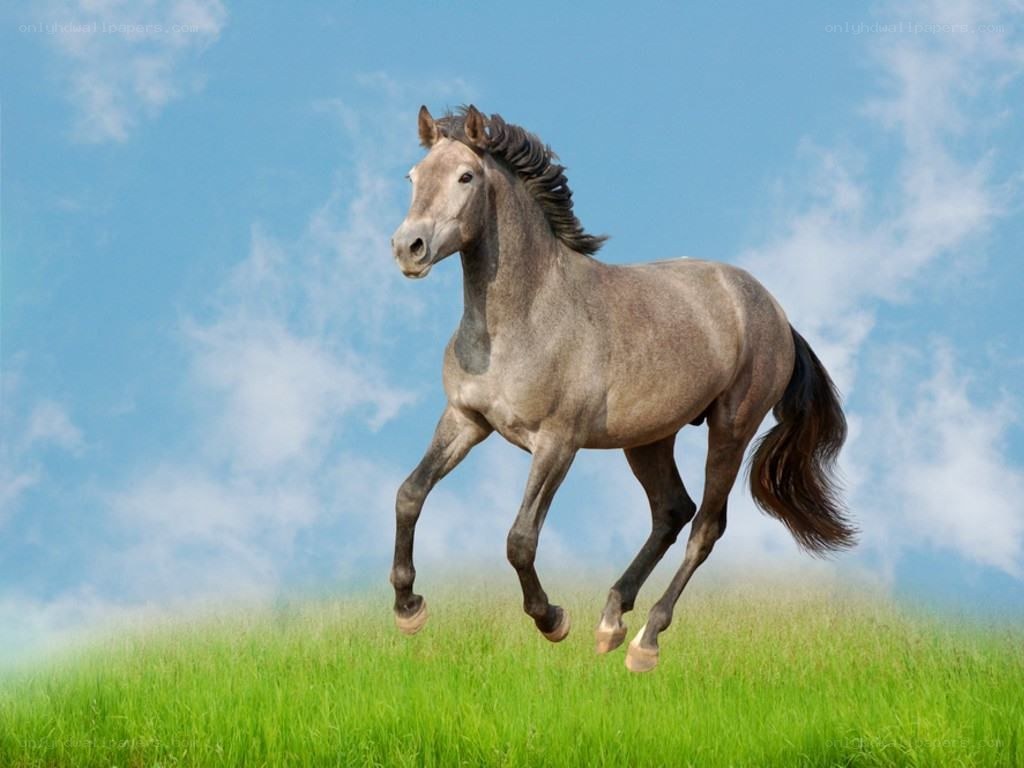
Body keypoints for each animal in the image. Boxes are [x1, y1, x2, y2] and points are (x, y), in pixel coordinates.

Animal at [389, 105, 855, 672]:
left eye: (466, 177)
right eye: (413, 177)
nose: (408, 248)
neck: (524, 317)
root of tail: (775, 310)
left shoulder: (557, 443)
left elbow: (520, 539)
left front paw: (552, 620)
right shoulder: (465, 419)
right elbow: (410, 494)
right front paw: (409, 609)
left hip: (731, 428)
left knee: (705, 528)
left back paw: (645, 641)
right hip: (649, 438)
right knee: (672, 511)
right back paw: (611, 620)